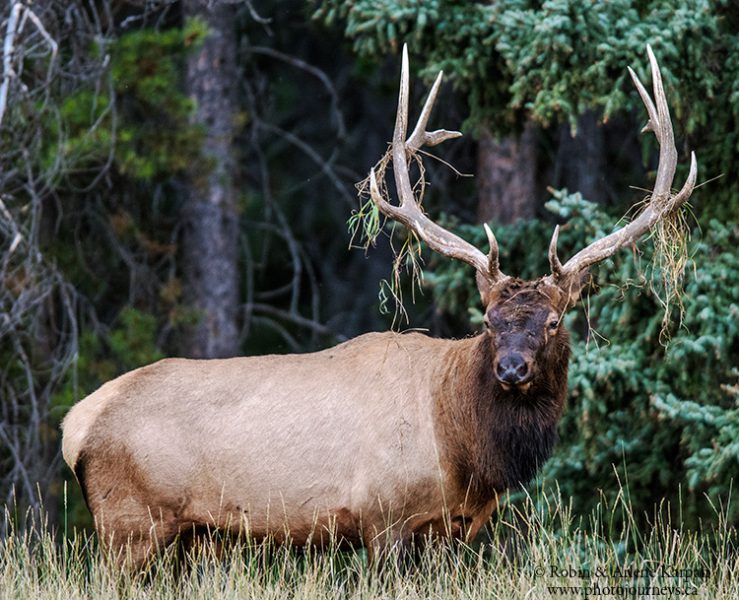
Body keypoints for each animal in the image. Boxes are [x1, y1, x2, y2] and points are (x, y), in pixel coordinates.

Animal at [62, 47, 692, 568]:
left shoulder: (452, 529)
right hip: (129, 522)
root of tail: (75, 425)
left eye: (554, 321)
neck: (464, 449)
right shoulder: (383, 516)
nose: (512, 368)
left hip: (183, 536)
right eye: (488, 321)